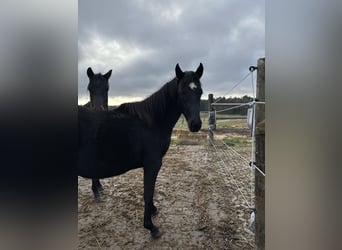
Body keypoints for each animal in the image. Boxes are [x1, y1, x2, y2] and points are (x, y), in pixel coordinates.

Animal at [79, 63, 203, 238]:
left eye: (200, 92)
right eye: (182, 92)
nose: (195, 125)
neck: (151, 123)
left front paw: (153, 210)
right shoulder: (152, 164)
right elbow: (148, 192)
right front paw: (150, 226)